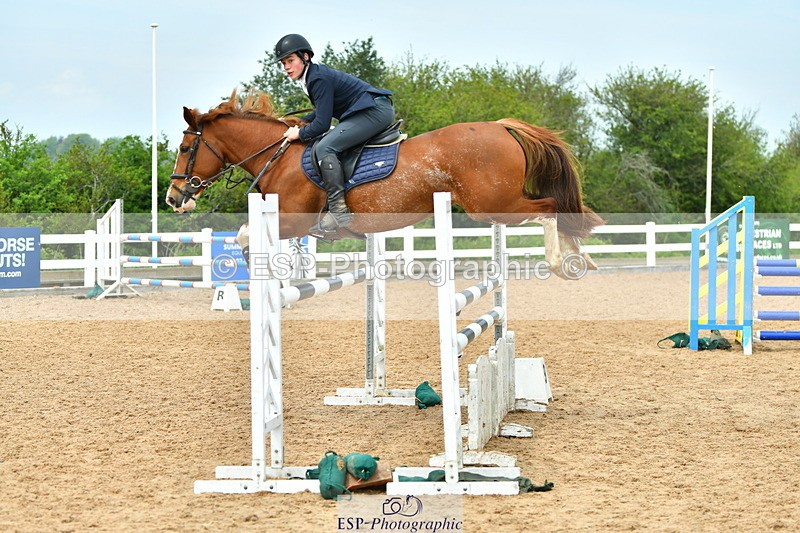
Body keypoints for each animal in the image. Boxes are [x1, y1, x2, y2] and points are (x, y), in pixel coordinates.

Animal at [166, 90, 604, 278]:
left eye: (186, 147)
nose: (173, 198)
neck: (280, 156)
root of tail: (501, 126)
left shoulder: (293, 220)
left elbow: (244, 235)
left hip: (493, 205)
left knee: (549, 208)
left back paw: (563, 263)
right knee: (557, 211)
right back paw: (582, 259)